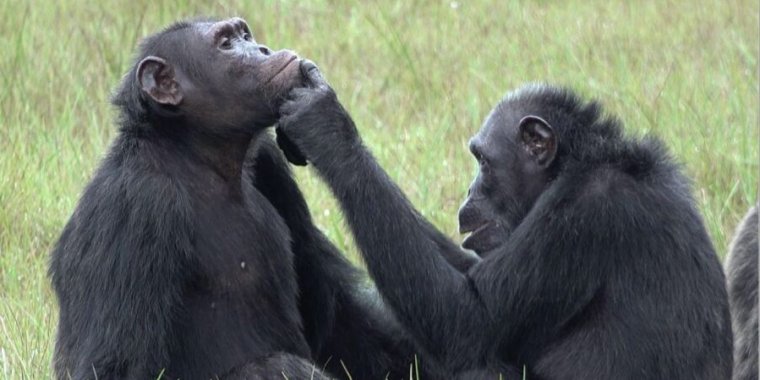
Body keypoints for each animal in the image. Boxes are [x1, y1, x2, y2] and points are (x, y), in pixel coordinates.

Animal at [50, 18, 422, 380]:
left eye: (245, 35)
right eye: (226, 44)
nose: (262, 49)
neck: (198, 155)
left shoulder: (271, 165)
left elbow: (336, 319)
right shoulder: (135, 205)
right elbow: (116, 364)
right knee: (273, 367)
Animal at [278, 64, 736, 378]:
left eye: (482, 160)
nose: (468, 191)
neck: (576, 164)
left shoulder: (585, 215)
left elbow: (469, 319)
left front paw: (326, 126)